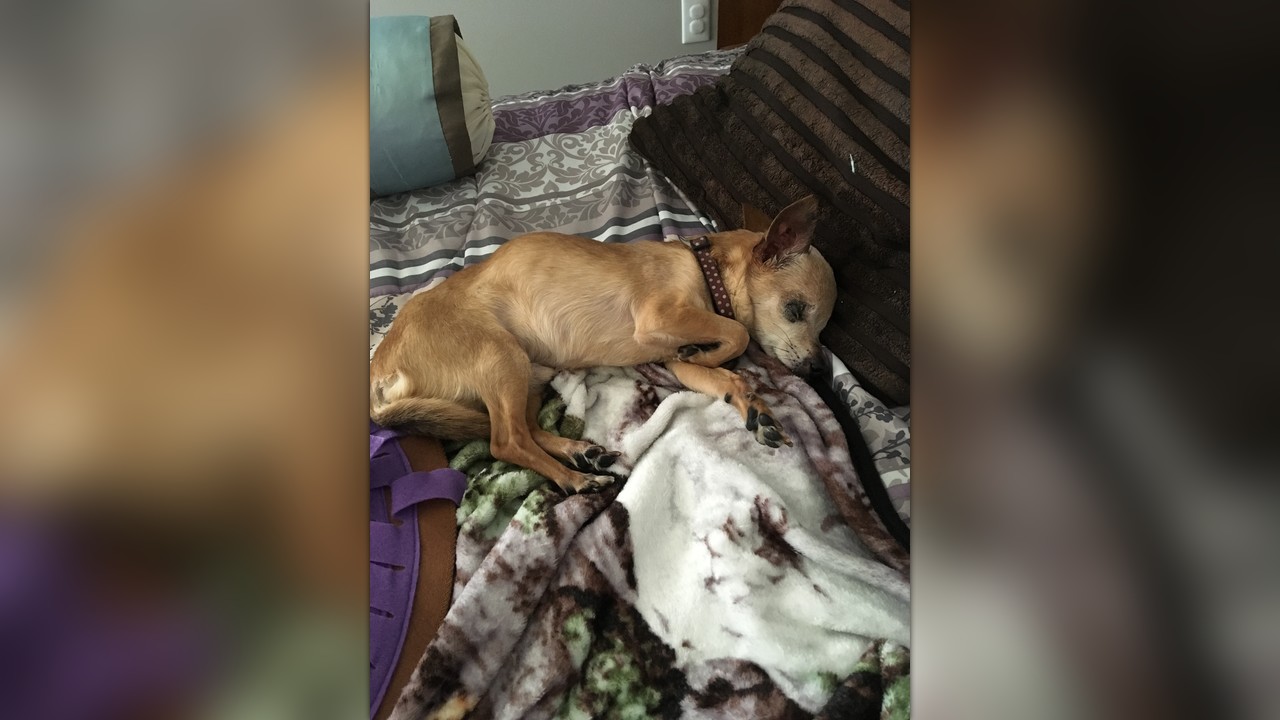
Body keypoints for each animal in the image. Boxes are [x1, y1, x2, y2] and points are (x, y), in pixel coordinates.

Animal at [369, 196, 836, 494]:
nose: (819, 368)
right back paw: (575, 479)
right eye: (796, 310)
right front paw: (715, 352)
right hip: (502, 356)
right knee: (506, 441)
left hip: (531, 375)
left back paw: (579, 453)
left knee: (528, 430)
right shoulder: (658, 318)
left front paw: (755, 407)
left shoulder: (676, 360)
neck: (707, 268)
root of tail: (380, 371)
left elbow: (725, 376)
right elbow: (737, 333)